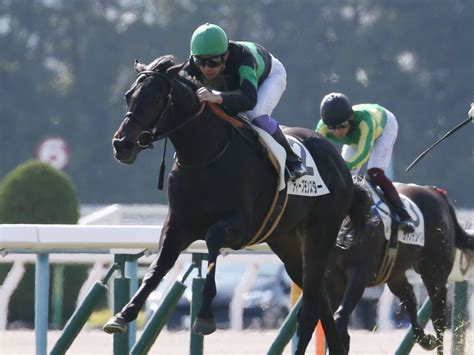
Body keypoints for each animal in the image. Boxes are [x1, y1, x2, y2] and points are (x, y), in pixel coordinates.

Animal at [105, 54, 372, 354]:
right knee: (320, 302)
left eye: (156, 98)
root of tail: (340, 165)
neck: (204, 155)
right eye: (128, 96)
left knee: (311, 309)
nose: (122, 144)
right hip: (289, 246)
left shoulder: (240, 226)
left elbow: (211, 241)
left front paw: (205, 316)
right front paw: (123, 314)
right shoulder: (177, 226)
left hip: (320, 236)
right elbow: (157, 268)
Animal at [326, 182, 474, 354]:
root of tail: (436, 193)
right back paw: (424, 339)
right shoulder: (333, 280)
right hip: (395, 274)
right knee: (410, 298)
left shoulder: (359, 274)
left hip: (434, 272)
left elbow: (340, 317)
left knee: (438, 318)